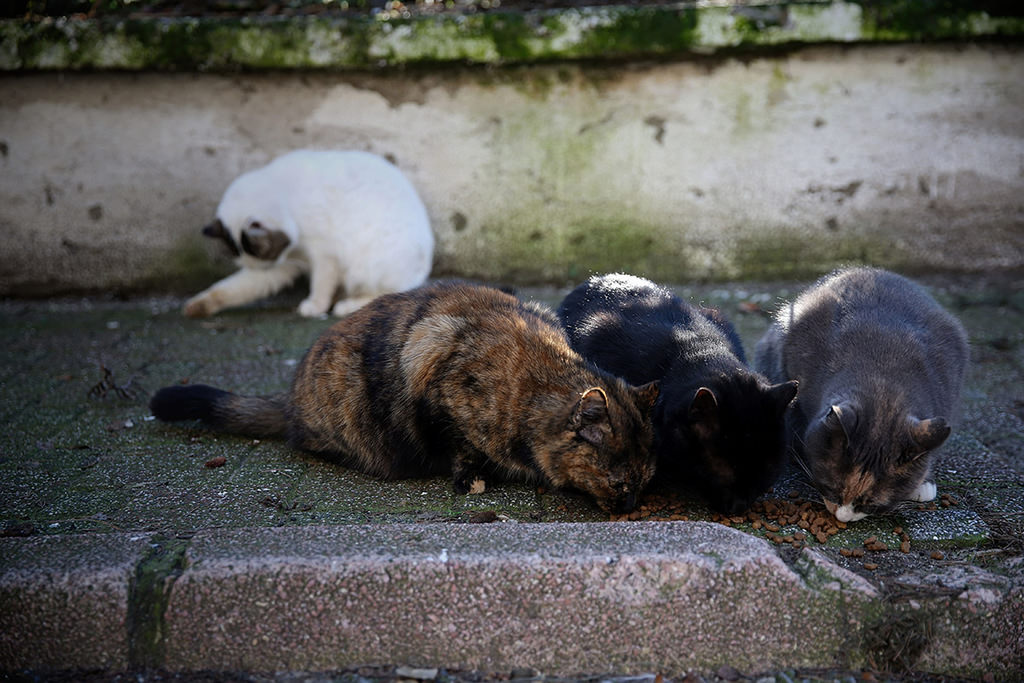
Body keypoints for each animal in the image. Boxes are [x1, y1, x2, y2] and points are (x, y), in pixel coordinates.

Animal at [152, 280, 663, 509]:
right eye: (620, 483)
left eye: (646, 481)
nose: (631, 509)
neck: (534, 385)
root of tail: (291, 391)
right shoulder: (435, 379)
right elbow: (461, 446)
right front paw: (471, 478)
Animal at [186, 148, 434, 317]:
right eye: (267, 263)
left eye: (269, 255)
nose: (270, 266)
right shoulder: (286, 264)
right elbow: (233, 287)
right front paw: (199, 305)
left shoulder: (324, 254)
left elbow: (321, 283)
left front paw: (315, 306)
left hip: (367, 265)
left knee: (389, 292)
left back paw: (347, 306)